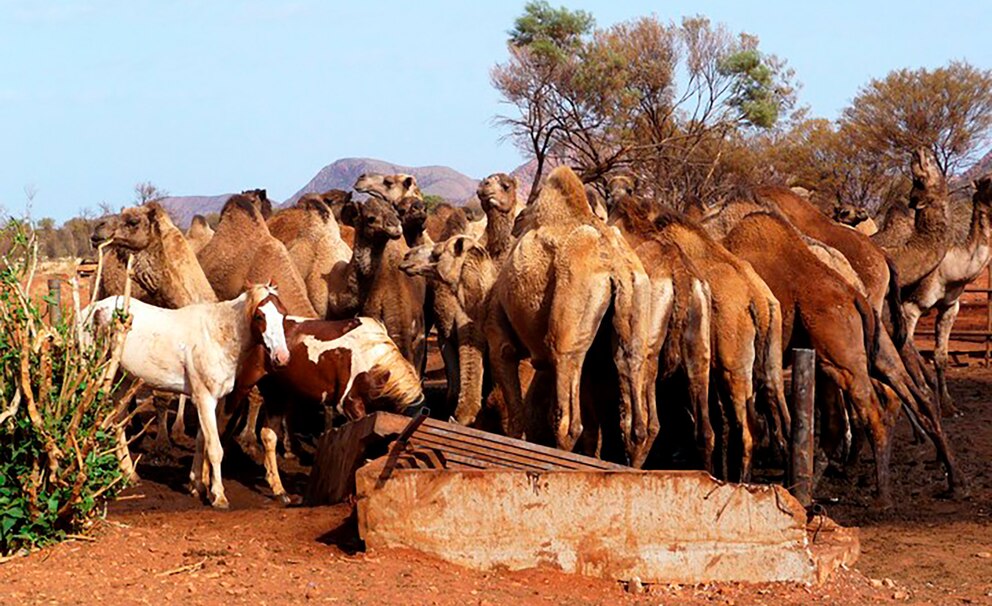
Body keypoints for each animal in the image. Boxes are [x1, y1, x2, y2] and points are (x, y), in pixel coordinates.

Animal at [485, 166, 653, 467]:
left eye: (502, 185)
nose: (484, 186)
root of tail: (617, 269)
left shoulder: (499, 337)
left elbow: (516, 415)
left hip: (568, 326)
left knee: (568, 422)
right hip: (634, 305)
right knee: (635, 423)